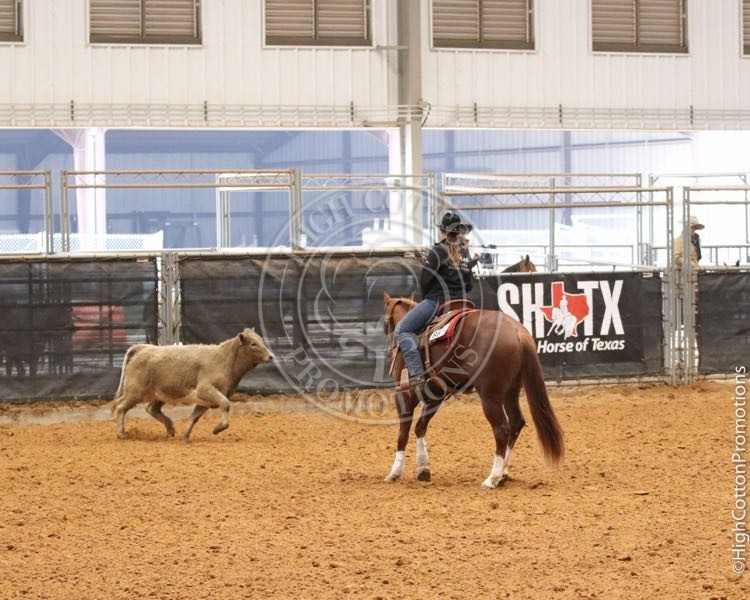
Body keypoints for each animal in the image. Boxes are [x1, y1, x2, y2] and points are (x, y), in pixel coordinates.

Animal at [383, 293, 564, 488]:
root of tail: (518, 332)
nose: (389, 350)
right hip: (511, 391)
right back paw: (503, 474)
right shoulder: (436, 396)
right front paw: (423, 468)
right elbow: (420, 427)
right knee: (516, 422)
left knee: (502, 429)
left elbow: (403, 434)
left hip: (490, 396)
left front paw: (395, 472)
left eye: (386, 323)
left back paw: (491, 479)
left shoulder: (404, 396)